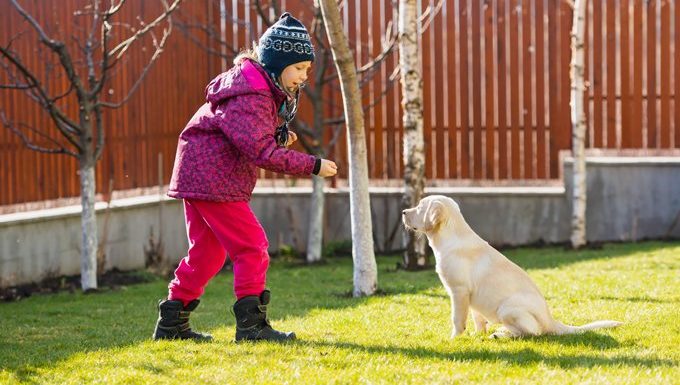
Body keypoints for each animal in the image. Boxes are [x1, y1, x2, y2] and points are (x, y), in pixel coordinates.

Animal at [402, 194, 624, 338]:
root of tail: (551, 320)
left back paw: (503, 335)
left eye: (420, 207)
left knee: (533, 333)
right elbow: (477, 319)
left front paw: (455, 339)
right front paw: (477, 337)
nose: (403, 211)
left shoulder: (459, 291)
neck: (450, 236)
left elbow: (458, 319)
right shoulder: (471, 296)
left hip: (507, 308)